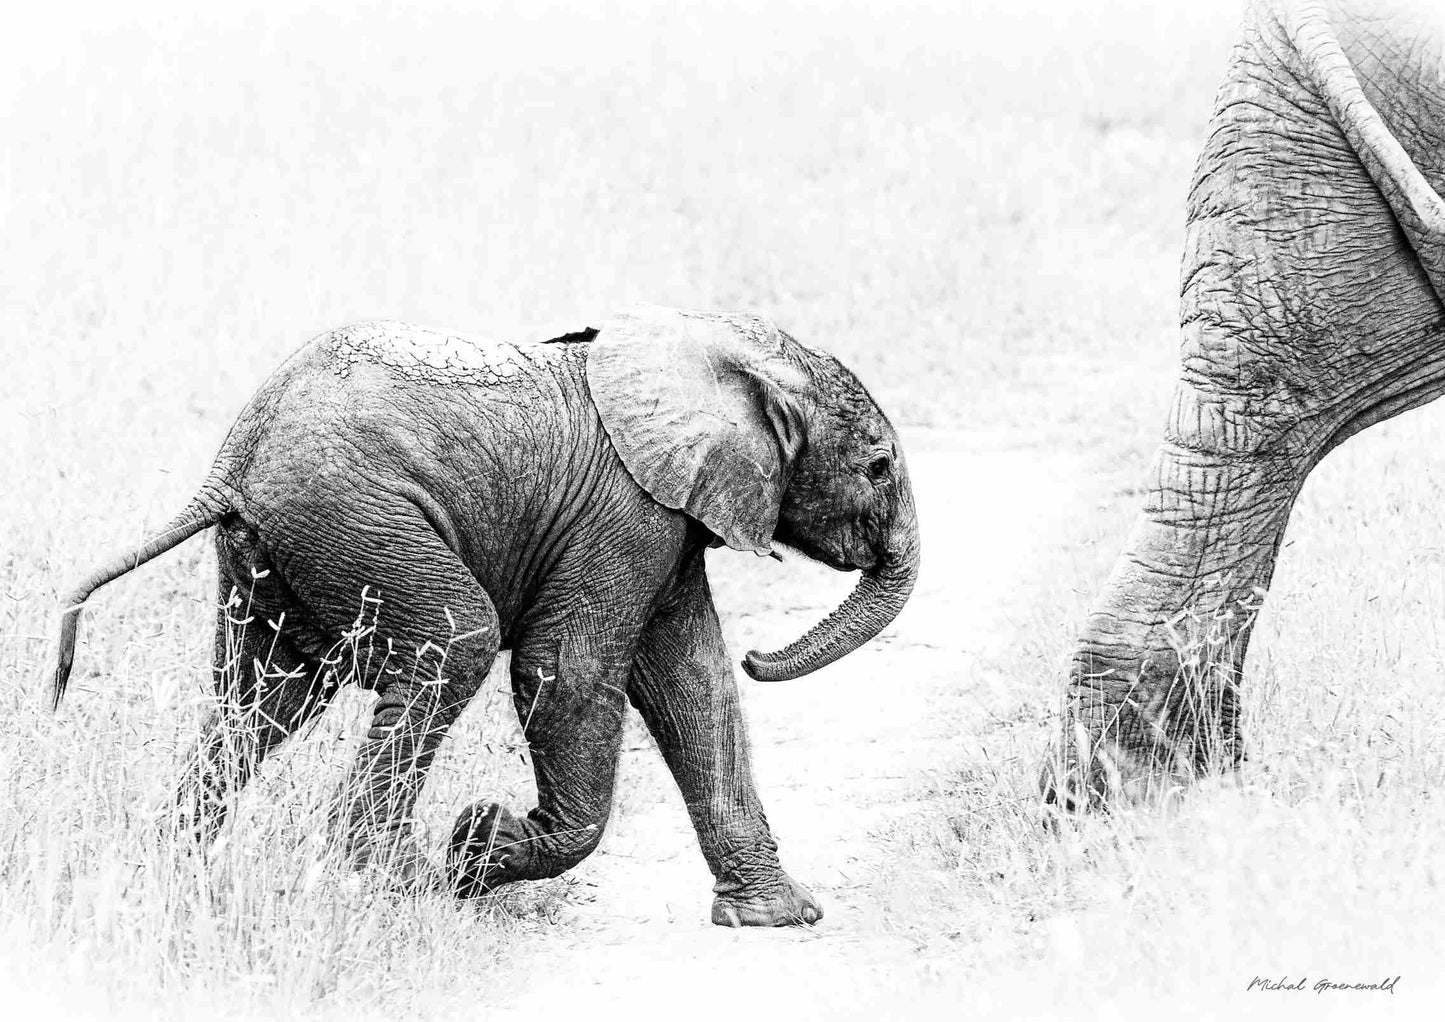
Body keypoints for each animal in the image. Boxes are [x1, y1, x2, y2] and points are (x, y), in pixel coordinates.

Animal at [52, 307, 920, 926]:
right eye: (878, 467)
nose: (761, 657)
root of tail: (231, 463)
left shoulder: (667, 520)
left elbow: (691, 681)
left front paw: (778, 919)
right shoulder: (625, 513)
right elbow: (571, 673)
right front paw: (479, 847)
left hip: (276, 552)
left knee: (261, 695)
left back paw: (171, 874)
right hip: (353, 519)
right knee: (452, 642)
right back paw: (395, 884)